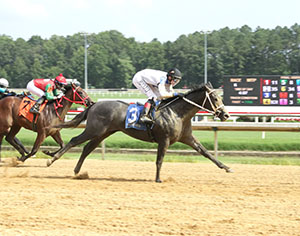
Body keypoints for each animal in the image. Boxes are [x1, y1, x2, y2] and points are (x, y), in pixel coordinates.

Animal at [45, 83, 231, 183]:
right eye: (215, 98)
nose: (226, 115)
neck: (177, 113)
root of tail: (94, 104)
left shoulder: (187, 138)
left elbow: (205, 152)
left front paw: (226, 167)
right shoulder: (164, 140)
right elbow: (159, 160)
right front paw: (158, 179)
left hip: (103, 133)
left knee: (86, 149)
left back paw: (77, 171)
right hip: (93, 129)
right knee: (74, 141)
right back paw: (52, 160)